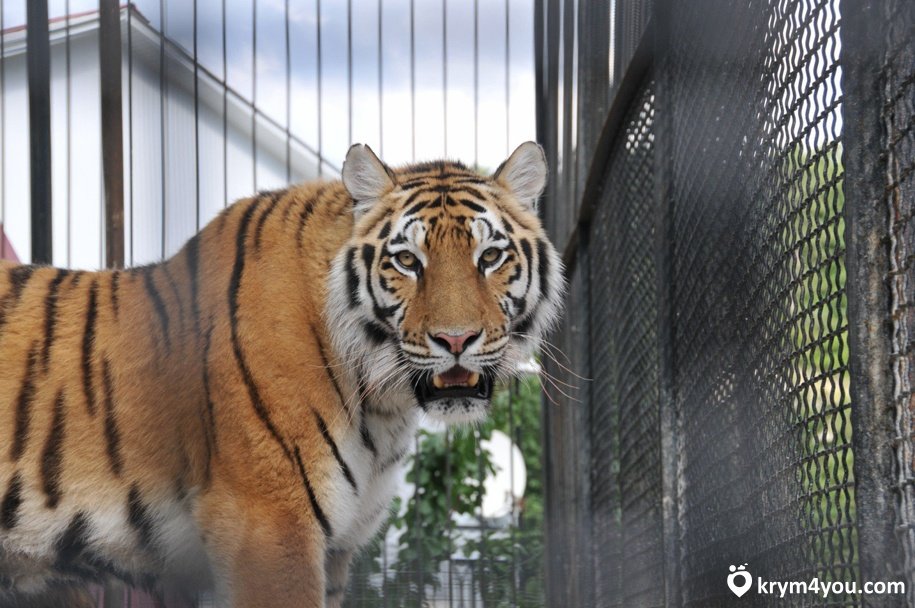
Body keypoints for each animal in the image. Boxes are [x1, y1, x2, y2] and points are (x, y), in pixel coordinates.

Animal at [0, 141, 564, 607]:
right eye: (407, 260)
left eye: (490, 256)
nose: (456, 340)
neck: (382, 406)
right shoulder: (268, 526)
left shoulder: (335, 547)